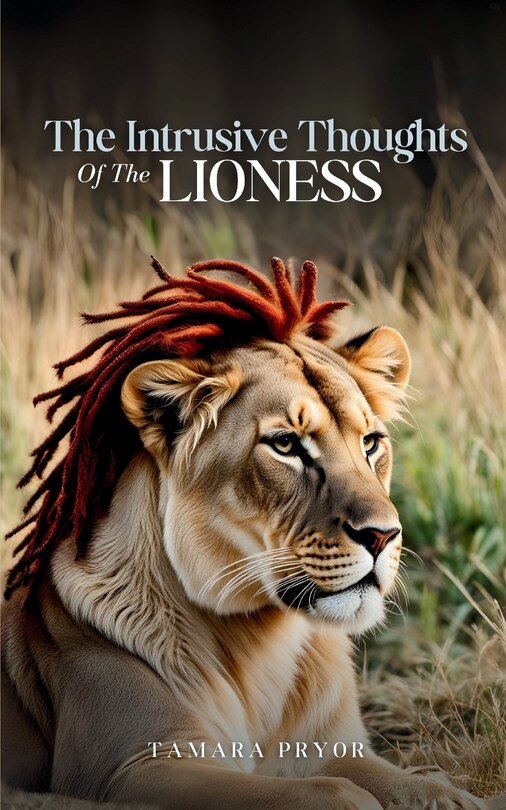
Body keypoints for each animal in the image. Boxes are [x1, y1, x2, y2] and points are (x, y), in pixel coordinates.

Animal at [2, 258, 494, 810]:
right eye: (286, 445)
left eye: (370, 442)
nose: (383, 536)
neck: (260, 642)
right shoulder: (125, 770)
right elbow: (325, 793)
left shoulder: (332, 748)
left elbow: (408, 782)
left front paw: (448, 793)